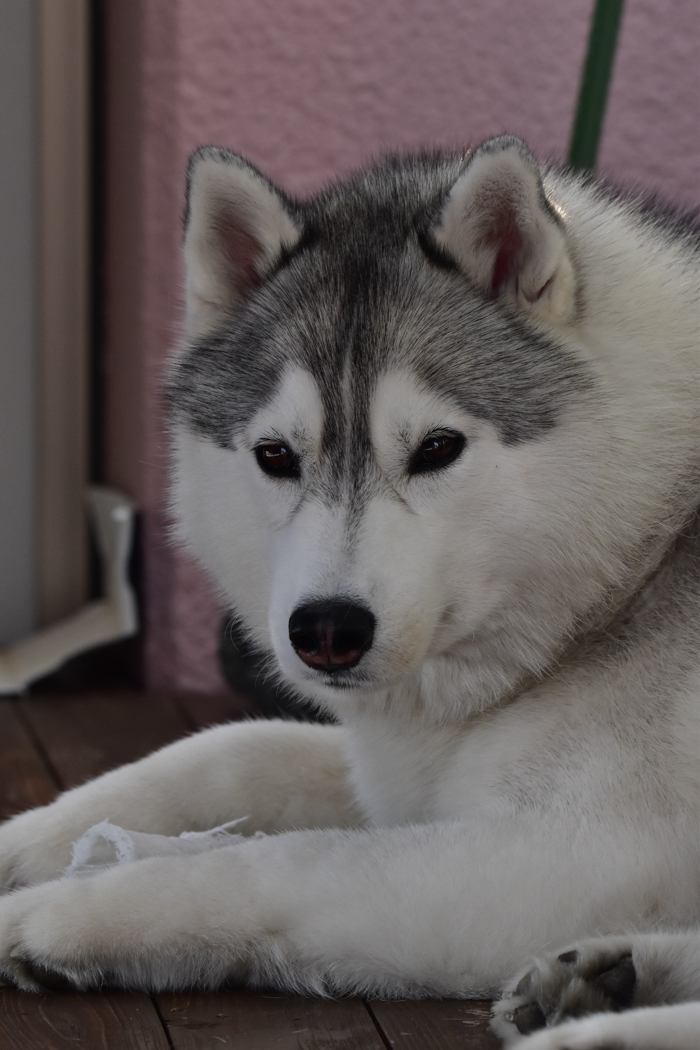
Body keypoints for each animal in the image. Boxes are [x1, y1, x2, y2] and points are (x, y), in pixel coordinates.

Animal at [1, 137, 700, 1041]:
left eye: (437, 447)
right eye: (275, 455)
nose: (327, 630)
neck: (628, 570)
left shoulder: (582, 854)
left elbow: (280, 861)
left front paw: (61, 911)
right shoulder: (399, 775)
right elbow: (232, 746)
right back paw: (604, 979)